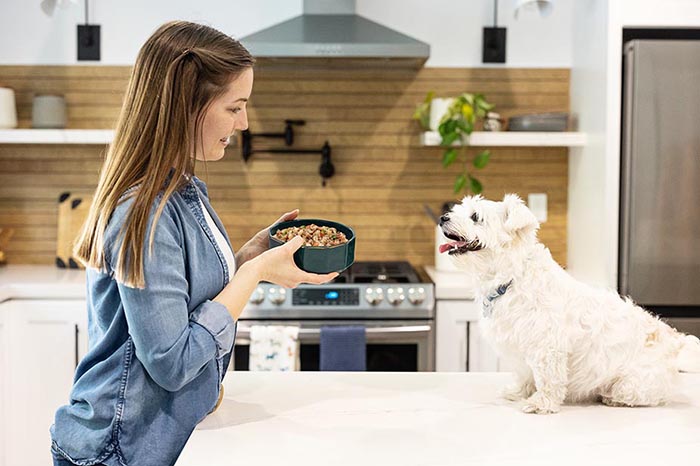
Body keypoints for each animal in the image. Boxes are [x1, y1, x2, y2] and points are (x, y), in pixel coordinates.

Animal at [440, 195, 696, 414]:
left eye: (475, 216)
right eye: (458, 208)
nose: (442, 217)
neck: (512, 277)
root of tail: (676, 342)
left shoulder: (547, 347)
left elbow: (548, 378)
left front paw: (542, 403)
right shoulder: (521, 348)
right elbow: (524, 375)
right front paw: (518, 392)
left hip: (632, 383)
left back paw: (612, 398)